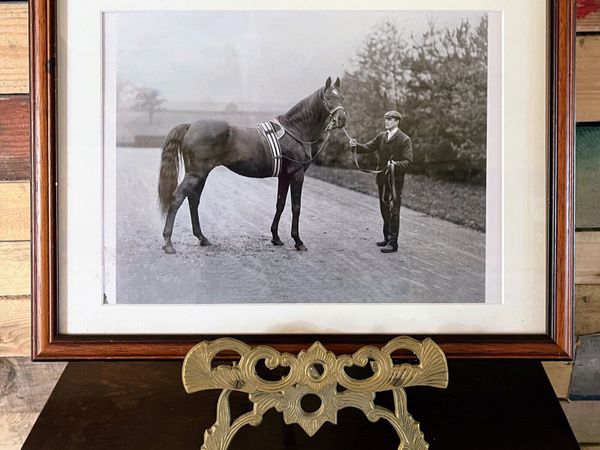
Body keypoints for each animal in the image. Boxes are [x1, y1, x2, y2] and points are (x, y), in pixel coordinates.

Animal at [157, 76, 346, 254]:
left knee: (193, 201)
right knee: (177, 199)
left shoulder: (284, 176)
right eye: (328, 98)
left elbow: (280, 204)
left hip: (201, 175)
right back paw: (168, 243)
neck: (295, 131)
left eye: (342, 97)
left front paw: (276, 238)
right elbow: (296, 207)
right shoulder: (297, 174)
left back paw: (202, 238)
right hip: (195, 174)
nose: (342, 119)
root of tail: (191, 126)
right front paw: (298, 242)